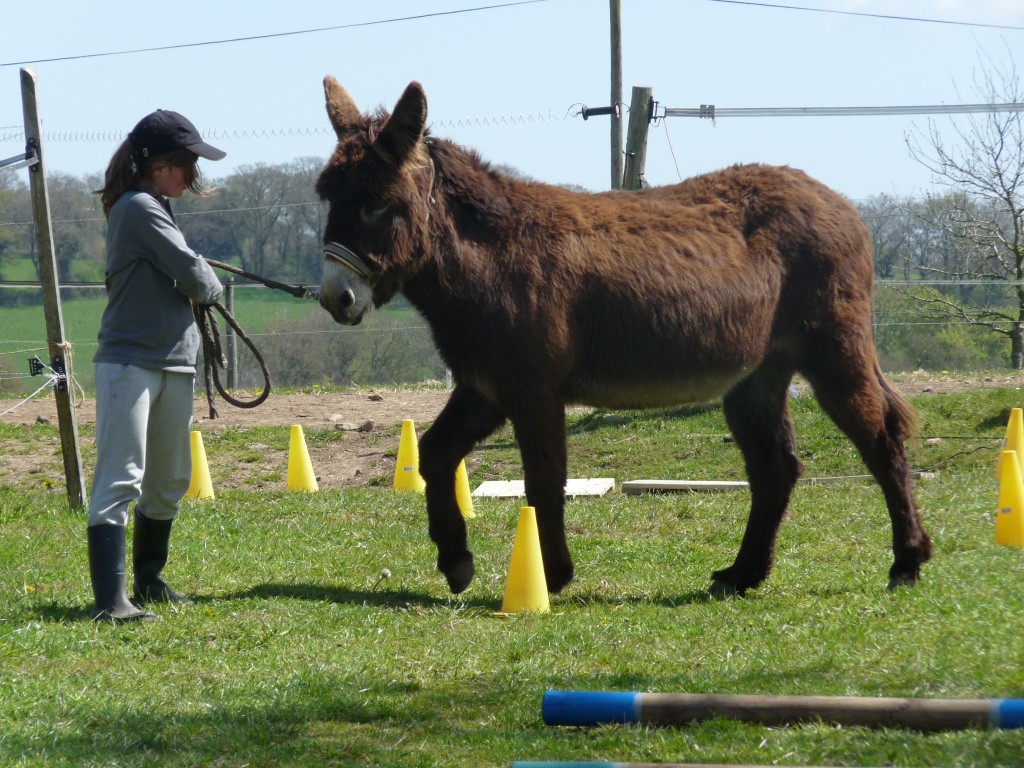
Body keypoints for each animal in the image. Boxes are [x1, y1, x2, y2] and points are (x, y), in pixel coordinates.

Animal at [315, 77, 932, 597]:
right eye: (328, 199)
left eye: (376, 204)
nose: (333, 298)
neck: (490, 258)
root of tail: (841, 205)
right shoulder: (485, 387)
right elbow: (435, 455)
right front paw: (456, 561)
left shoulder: (533, 390)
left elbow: (545, 480)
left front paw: (552, 577)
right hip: (757, 375)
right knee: (776, 468)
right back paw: (743, 573)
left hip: (834, 349)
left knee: (881, 442)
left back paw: (907, 561)